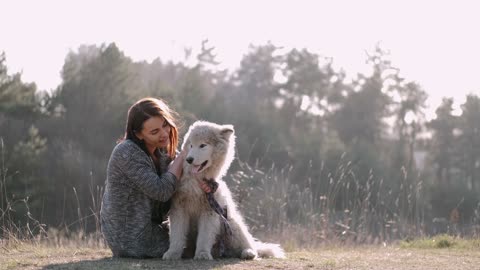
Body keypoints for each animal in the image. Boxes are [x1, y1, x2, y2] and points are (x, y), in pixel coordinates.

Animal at [164, 121, 284, 260]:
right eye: (191, 145)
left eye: (202, 145)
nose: (189, 159)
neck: (197, 180)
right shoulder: (179, 208)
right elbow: (177, 235)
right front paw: (172, 253)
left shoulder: (209, 210)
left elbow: (204, 236)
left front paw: (202, 254)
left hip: (231, 224)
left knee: (248, 245)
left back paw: (248, 253)